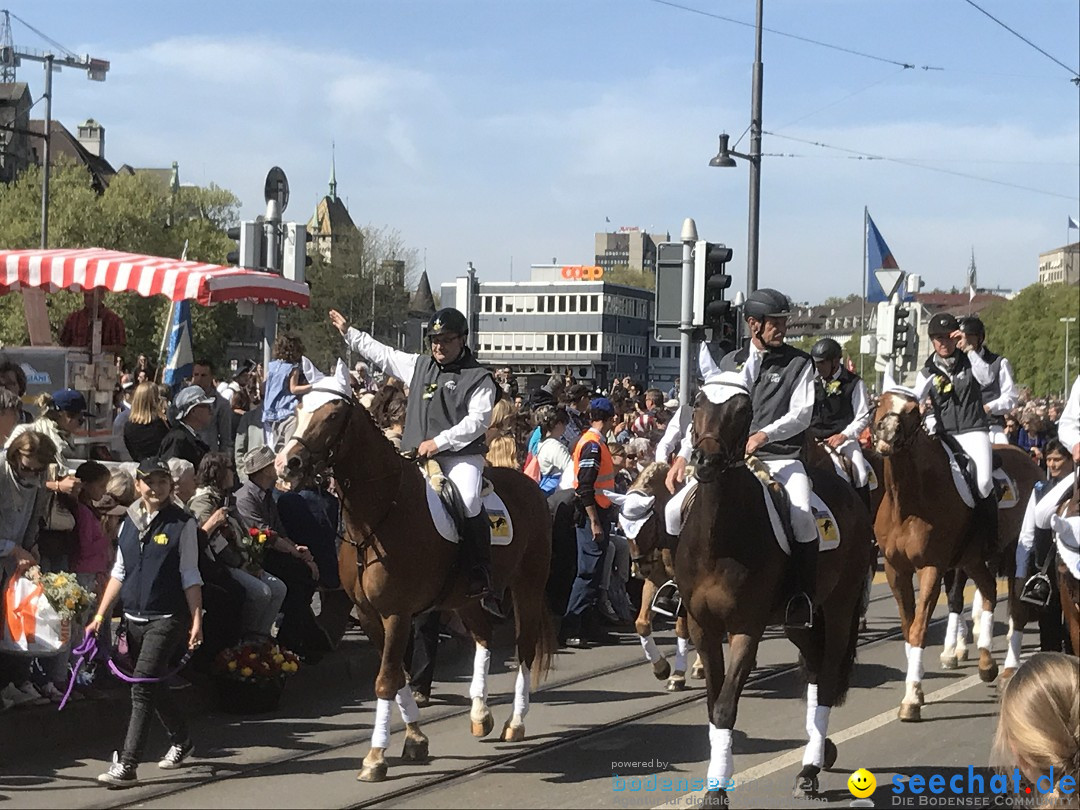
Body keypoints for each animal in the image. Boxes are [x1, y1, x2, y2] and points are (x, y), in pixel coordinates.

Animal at [276, 390, 557, 781]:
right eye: (300, 408)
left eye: (332, 416)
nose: (288, 463)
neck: (379, 517)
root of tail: (530, 485)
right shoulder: (369, 615)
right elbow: (399, 676)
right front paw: (415, 739)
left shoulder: (396, 613)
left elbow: (386, 679)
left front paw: (376, 756)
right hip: (464, 598)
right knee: (484, 636)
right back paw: (479, 712)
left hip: (527, 585)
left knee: (525, 649)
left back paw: (515, 722)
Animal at [617, 462, 699, 691]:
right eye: (621, 527)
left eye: (647, 525)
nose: (639, 568)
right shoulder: (655, 580)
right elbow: (642, 623)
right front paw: (661, 668)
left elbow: (682, 628)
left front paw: (677, 676)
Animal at [669, 382, 872, 807]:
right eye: (698, 402)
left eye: (743, 411)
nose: (704, 460)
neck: (718, 538)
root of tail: (848, 490)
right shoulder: (701, 627)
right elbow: (712, 705)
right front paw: (714, 784)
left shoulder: (747, 628)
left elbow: (726, 707)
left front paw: (718, 787)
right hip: (798, 622)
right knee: (815, 669)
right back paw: (820, 751)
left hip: (840, 607)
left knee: (827, 677)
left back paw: (809, 770)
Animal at [868, 390, 1036, 721]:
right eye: (880, 402)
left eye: (913, 411)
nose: (887, 434)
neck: (908, 503)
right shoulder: (896, 570)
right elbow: (908, 628)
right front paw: (918, 687)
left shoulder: (932, 567)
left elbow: (919, 629)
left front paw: (912, 697)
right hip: (972, 560)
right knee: (988, 590)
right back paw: (986, 661)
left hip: (1014, 555)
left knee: (1017, 608)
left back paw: (1009, 669)